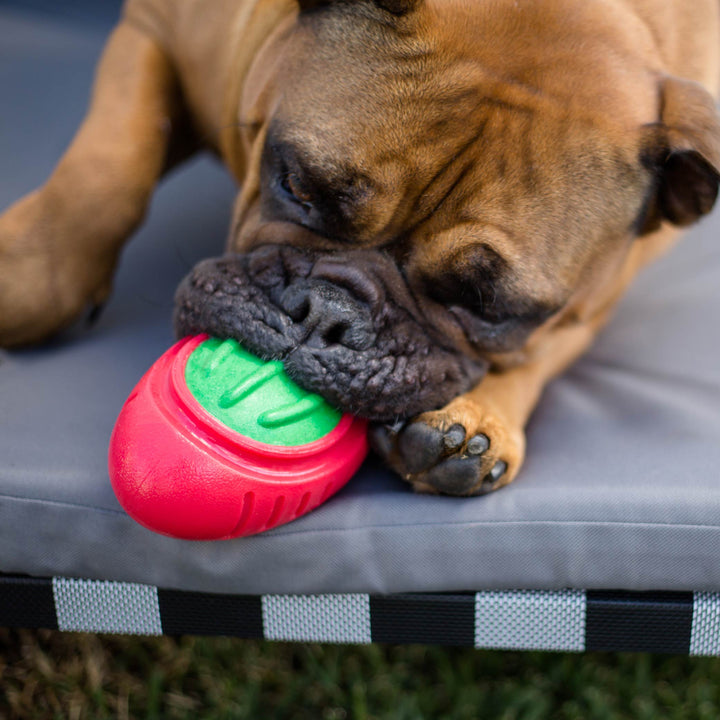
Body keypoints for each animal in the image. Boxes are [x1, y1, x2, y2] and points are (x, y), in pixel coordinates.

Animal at [1, 0, 720, 496]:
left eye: (487, 306)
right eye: (297, 184)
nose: (326, 313)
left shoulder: (592, 301)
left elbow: (537, 355)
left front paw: (480, 418)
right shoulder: (154, 30)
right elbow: (110, 165)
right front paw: (31, 277)